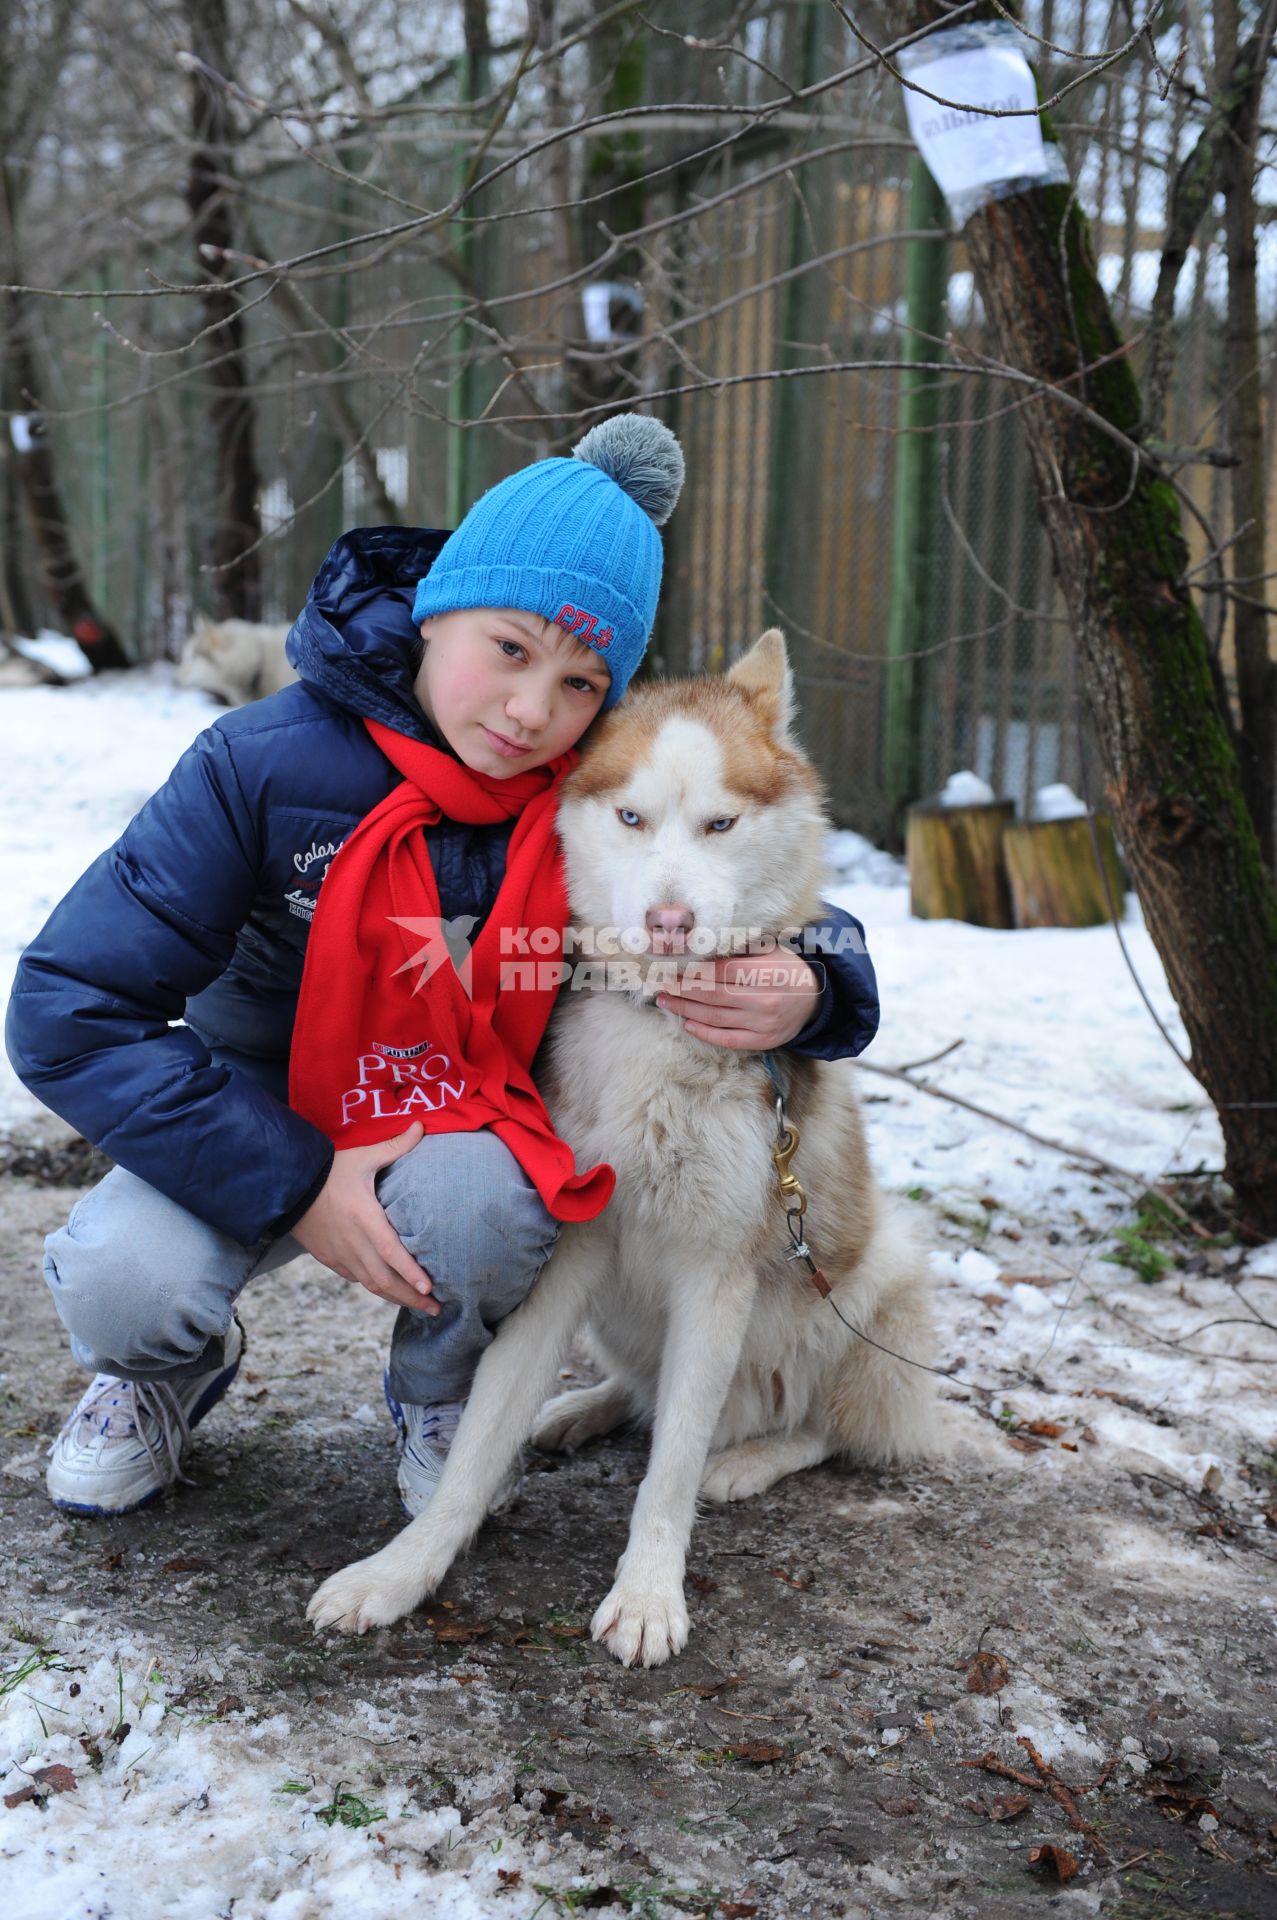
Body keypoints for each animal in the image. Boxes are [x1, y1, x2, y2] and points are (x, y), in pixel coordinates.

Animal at [303, 629, 933, 1666]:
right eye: (631, 817)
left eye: (719, 824)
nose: (667, 922)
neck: (656, 1022)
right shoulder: (568, 1248)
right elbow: (476, 1443)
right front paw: (403, 1569)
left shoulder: (717, 1274)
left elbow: (670, 1468)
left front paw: (645, 1596)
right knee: (644, 1393)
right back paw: (579, 1410)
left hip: (876, 1275)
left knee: (817, 1425)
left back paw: (749, 1458)